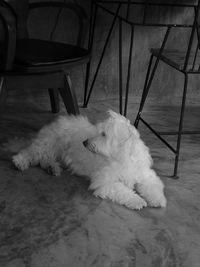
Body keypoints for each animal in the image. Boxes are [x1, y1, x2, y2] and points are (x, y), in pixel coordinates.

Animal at [11, 110, 166, 210]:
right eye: (99, 132)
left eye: (103, 134)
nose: (84, 142)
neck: (122, 157)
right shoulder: (105, 181)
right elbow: (123, 190)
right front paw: (137, 200)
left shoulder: (145, 174)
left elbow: (152, 186)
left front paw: (158, 199)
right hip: (49, 143)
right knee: (32, 152)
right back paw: (20, 161)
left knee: (44, 158)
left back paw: (52, 168)